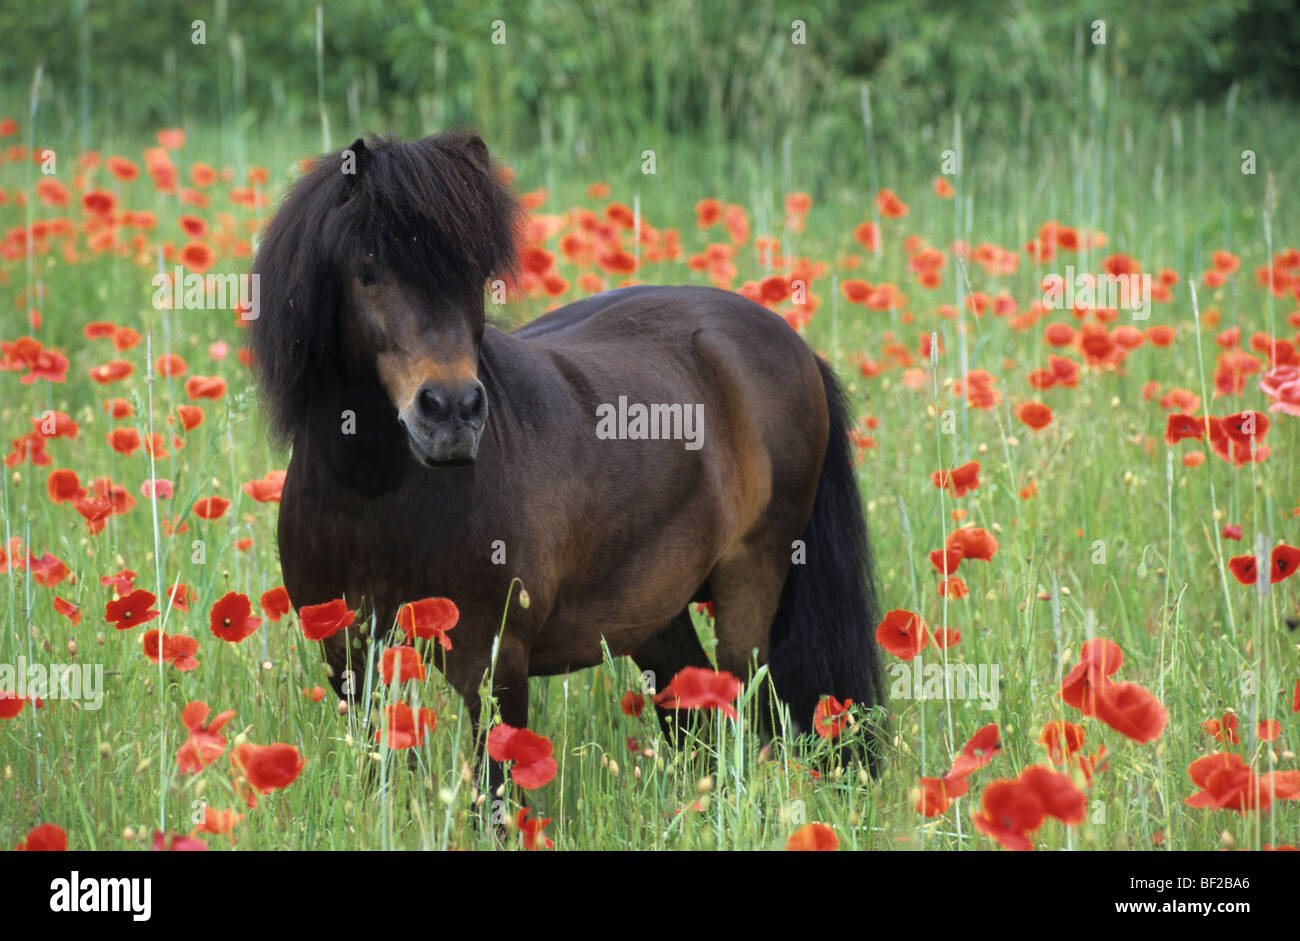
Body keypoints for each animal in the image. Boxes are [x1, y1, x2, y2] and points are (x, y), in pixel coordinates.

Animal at [246, 128, 883, 785]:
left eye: (475, 275)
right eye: (368, 272)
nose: (451, 413)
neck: (372, 496)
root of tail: (790, 341)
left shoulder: (492, 661)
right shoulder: (349, 659)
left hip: (751, 579)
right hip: (657, 615)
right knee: (695, 721)